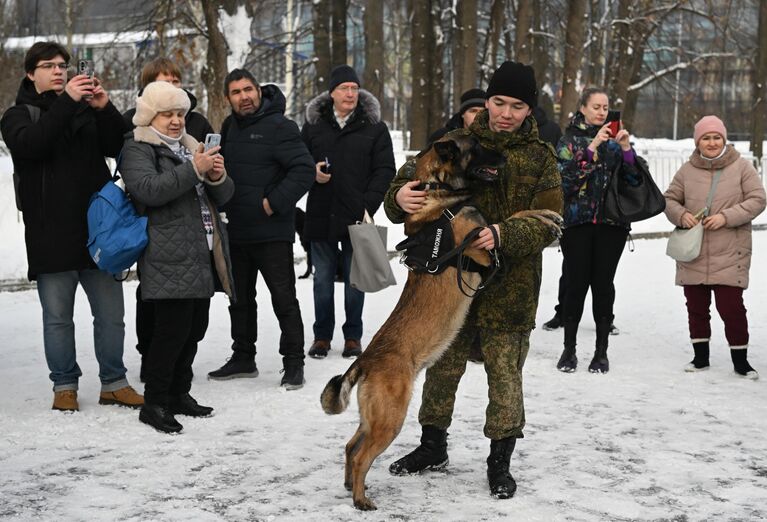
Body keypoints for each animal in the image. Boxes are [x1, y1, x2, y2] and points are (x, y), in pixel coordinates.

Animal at [320, 133, 560, 508]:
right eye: (477, 147)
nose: (504, 156)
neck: (438, 193)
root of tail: (365, 360)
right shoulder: (481, 248)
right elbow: (509, 221)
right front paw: (546, 217)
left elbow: (514, 218)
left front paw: (546, 214)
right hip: (390, 418)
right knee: (360, 456)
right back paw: (361, 500)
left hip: (374, 418)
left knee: (349, 445)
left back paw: (349, 487)